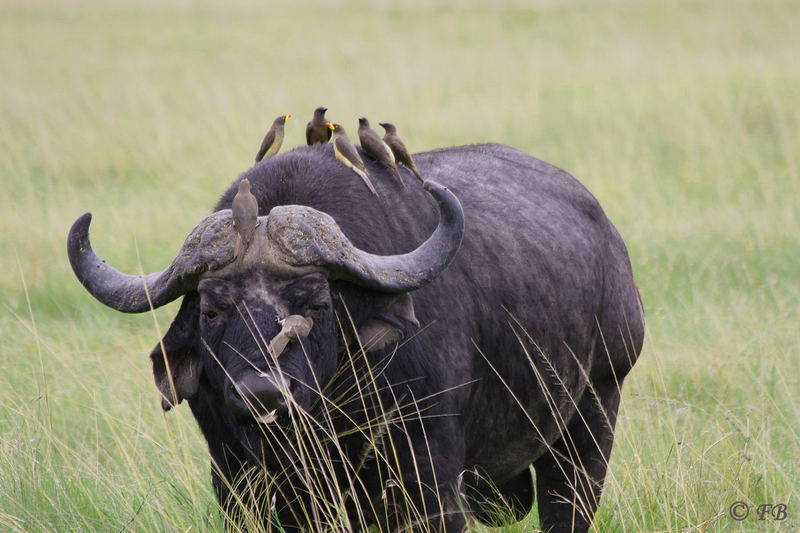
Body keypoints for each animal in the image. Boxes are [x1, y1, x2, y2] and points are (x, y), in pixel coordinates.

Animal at [67, 142, 644, 532]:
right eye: (211, 311)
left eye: (318, 304)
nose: (263, 395)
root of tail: (608, 240)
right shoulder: (236, 482)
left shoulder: (430, 483)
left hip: (594, 414)